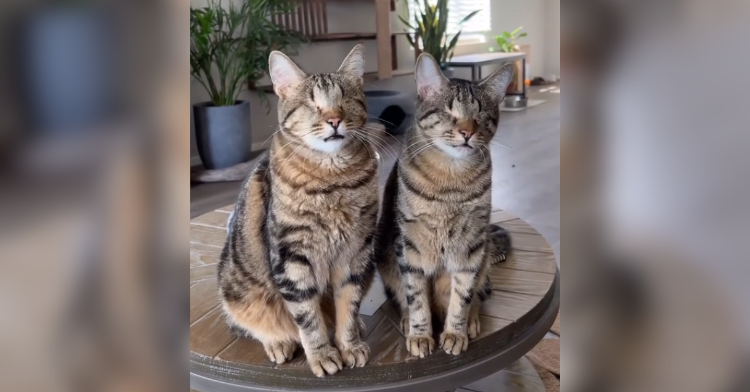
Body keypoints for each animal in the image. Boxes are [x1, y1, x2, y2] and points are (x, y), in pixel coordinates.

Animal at [220, 45, 378, 376]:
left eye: (344, 99)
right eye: (311, 104)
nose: (334, 119)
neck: (333, 181)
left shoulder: (356, 252)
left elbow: (348, 304)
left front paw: (349, 344)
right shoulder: (291, 257)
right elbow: (307, 316)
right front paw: (321, 354)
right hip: (237, 291)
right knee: (251, 323)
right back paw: (277, 342)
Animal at [378, 53, 516, 356]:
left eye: (480, 115)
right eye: (449, 112)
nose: (466, 132)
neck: (451, 182)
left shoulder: (471, 246)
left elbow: (462, 296)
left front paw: (456, 331)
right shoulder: (409, 246)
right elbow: (416, 297)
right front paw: (420, 335)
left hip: (484, 252)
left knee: (476, 295)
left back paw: (471, 321)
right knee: (403, 298)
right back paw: (407, 321)